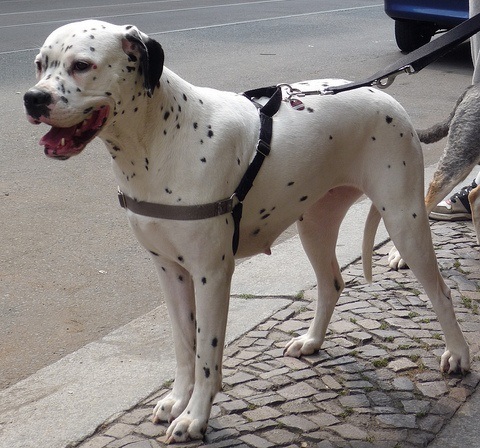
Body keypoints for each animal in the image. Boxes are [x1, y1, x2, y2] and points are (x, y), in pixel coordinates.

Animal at [23, 20, 468, 440]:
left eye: (82, 65)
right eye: (40, 64)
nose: (33, 98)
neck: (161, 139)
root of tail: (384, 94)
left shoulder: (212, 274)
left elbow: (206, 355)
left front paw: (195, 417)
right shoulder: (169, 271)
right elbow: (184, 346)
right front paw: (177, 400)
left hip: (404, 221)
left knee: (442, 293)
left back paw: (459, 355)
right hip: (314, 226)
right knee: (332, 284)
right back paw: (312, 341)